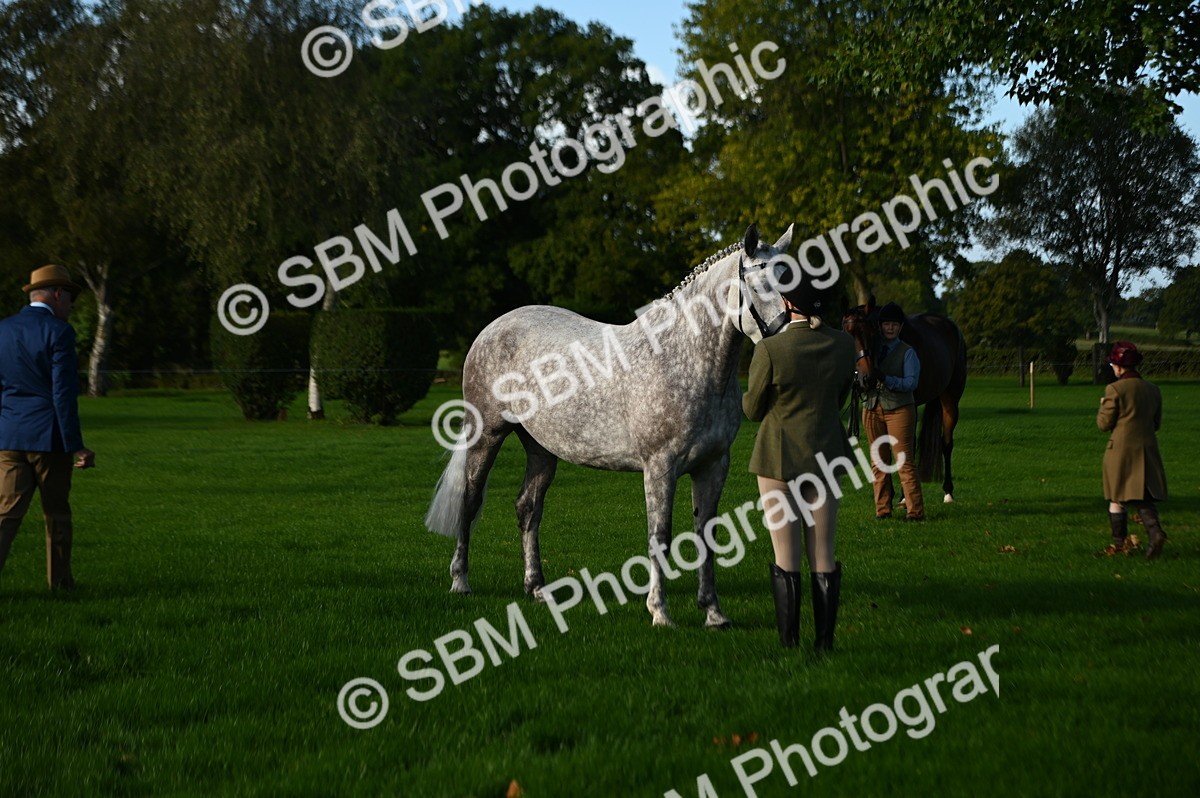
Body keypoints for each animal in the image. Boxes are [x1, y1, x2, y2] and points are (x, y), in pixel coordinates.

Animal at [425, 225, 795, 627]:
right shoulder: (660, 466)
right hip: (486, 436)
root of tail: (492, 328)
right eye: (758, 283)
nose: (787, 335)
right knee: (470, 500)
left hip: (541, 449)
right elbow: (659, 536)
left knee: (528, 508)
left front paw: (713, 612)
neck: (684, 360)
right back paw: (460, 581)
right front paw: (660, 612)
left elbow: (706, 535)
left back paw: (537, 589)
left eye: (787, 278)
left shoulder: (714, 465)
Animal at [841, 297, 967, 504]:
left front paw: (902, 497)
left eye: (871, 334)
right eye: (848, 334)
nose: (868, 379)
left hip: (950, 400)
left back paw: (948, 491)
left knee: (946, 443)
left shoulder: (910, 405)